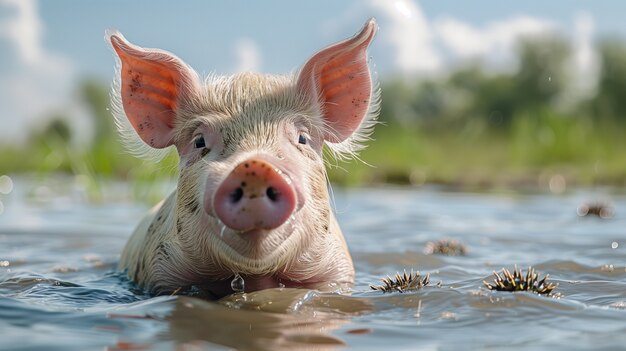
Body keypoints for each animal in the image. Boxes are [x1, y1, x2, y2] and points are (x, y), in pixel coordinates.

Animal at [108, 19, 378, 298]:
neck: (255, 276)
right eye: (199, 141)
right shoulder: (162, 272)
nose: (255, 166)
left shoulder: (335, 271)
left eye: (302, 138)